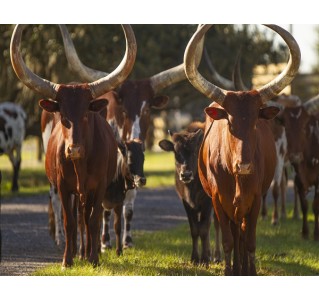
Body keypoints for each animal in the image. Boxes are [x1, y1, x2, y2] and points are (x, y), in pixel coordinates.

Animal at [10, 24, 136, 268]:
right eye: (63, 115)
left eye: (87, 113)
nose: (73, 150)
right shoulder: (63, 187)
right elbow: (69, 222)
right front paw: (67, 260)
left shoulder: (99, 187)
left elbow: (94, 220)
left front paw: (94, 258)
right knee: (78, 218)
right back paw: (79, 252)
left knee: (85, 218)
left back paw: (86, 253)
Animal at [59, 23, 205, 248]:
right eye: (123, 108)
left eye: (146, 109)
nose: (135, 137)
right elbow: (104, 207)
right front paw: (104, 242)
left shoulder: (135, 166)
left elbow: (128, 204)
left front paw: (127, 240)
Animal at [184, 24, 302, 276]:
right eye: (229, 121)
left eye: (256, 121)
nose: (244, 166)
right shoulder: (217, 200)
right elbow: (229, 240)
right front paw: (229, 269)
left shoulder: (255, 198)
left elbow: (249, 240)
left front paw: (250, 270)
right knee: (233, 231)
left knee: (242, 231)